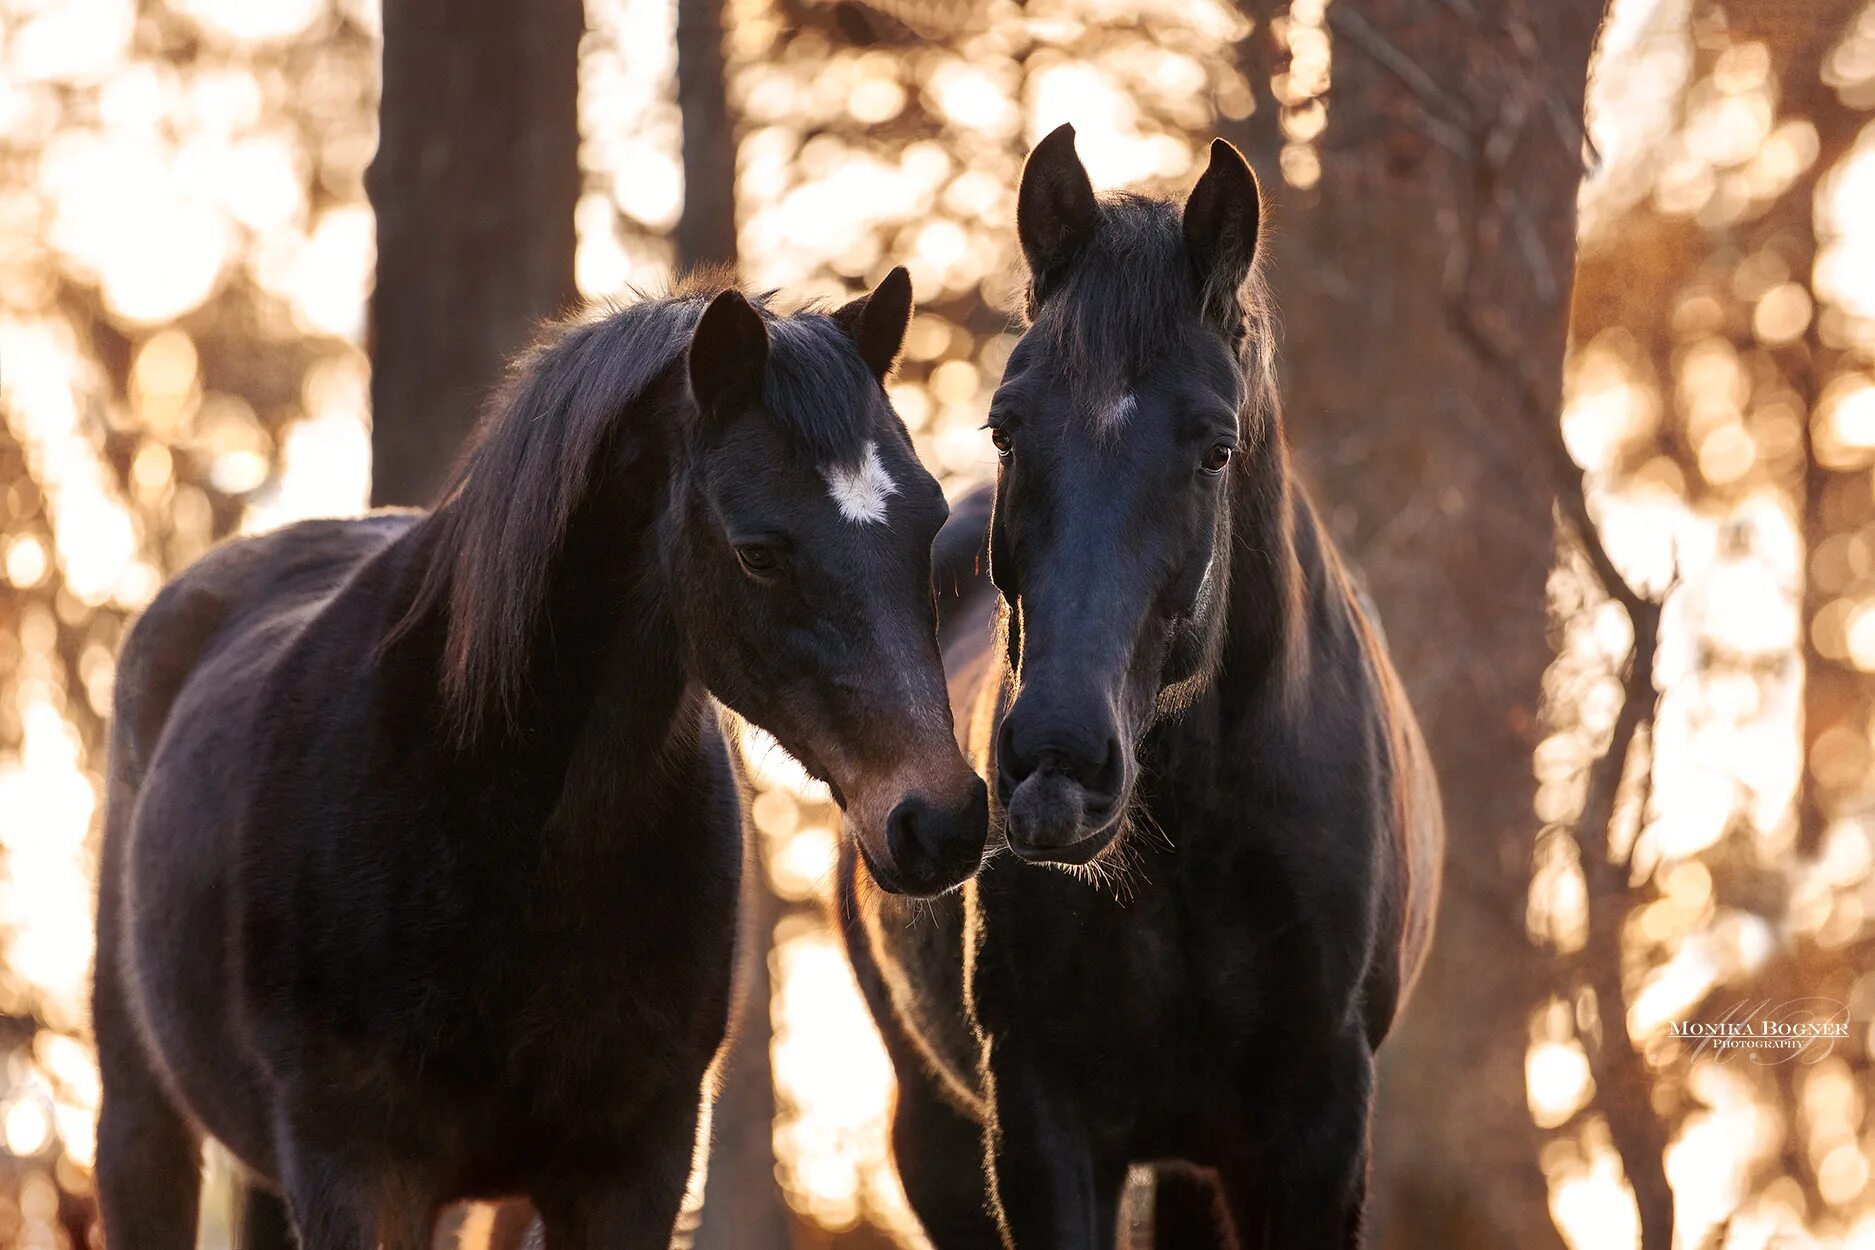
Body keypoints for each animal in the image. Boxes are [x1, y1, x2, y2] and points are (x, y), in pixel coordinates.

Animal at [98, 273, 997, 1250]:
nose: (940, 821)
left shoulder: (630, 1170)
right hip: (147, 1122)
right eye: (758, 552)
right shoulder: (359, 1173)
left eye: (928, 524)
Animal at [843, 129, 1440, 1250]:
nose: (1055, 769)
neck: (1193, 839)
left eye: (1214, 446)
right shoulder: (1044, 1123)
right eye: (1006, 426)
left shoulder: (1314, 1130)